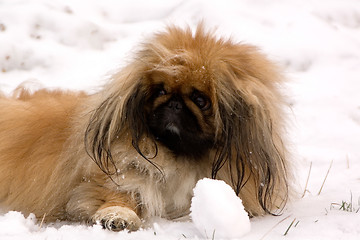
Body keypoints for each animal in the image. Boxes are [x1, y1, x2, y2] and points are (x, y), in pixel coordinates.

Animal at [0, 24, 290, 231]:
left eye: (200, 100)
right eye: (160, 91)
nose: (174, 104)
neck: (179, 159)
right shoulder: (111, 177)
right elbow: (119, 195)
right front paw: (118, 216)